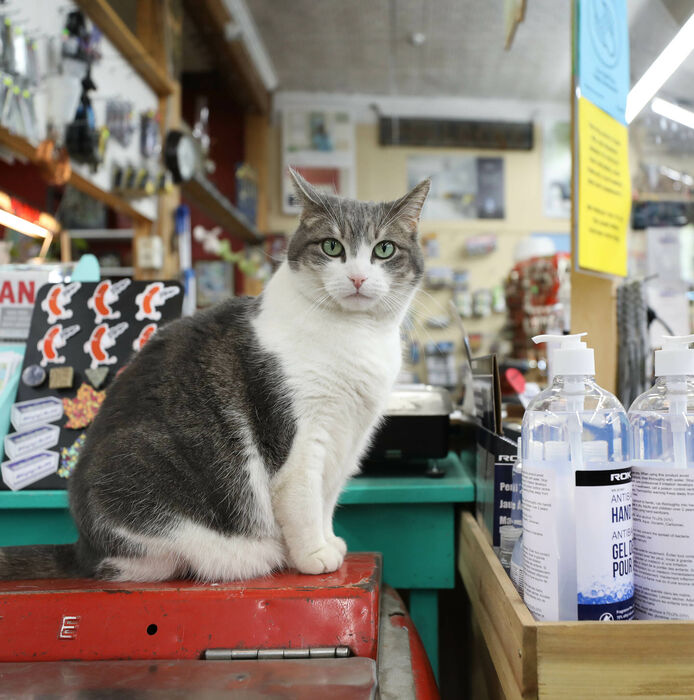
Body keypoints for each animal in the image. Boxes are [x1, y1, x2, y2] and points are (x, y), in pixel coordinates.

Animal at [0, 172, 430, 584]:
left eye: (384, 249)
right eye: (332, 247)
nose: (358, 278)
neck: (357, 336)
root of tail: (83, 548)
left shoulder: (349, 438)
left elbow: (326, 499)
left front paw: (330, 542)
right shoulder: (303, 438)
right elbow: (305, 499)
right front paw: (313, 556)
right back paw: (257, 555)